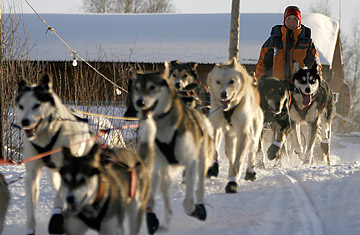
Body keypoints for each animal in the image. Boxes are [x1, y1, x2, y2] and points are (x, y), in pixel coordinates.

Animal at [15, 74, 94, 234]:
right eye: (21, 106)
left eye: (36, 105)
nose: (24, 121)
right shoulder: (32, 174)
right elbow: (30, 208)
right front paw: (30, 229)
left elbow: (59, 198)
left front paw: (56, 218)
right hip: (52, 175)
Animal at [132, 62, 217, 233]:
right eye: (136, 88)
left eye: (152, 87)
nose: (139, 102)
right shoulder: (155, 167)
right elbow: (150, 200)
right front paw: (152, 219)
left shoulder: (190, 163)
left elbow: (188, 202)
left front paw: (196, 210)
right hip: (164, 174)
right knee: (167, 205)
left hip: (201, 161)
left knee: (199, 187)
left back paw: (200, 204)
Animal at [207, 57, 262, 193]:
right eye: (218, 82)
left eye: (232, 81)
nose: (223, 94)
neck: (229, 109)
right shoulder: (216, 127)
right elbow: (215, 149)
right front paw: (214, 167)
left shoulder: (244, 133)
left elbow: (239, 160)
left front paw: (232, 182)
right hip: (230, 139)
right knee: (230, 154)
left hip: (254, 135)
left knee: (251, 152)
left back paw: (249, 172)